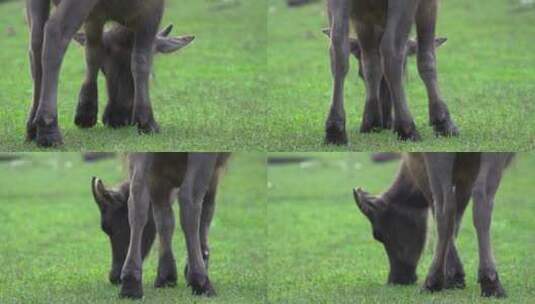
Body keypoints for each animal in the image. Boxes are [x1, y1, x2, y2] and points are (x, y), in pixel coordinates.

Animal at [26, 0, 182, 147]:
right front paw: (146, 122)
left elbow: (93, 51)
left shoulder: (95, 16)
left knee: (36, 42)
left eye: (104, 69)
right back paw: (49, 130)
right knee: (55, 32)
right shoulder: (151, 10)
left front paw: (85, 113)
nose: (118, 118)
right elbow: (141, 59)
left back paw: (32, 127)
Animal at [92, 153, 230, 298]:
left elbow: (164, 218)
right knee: (189, 197)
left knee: (137, 196)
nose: (114, 275)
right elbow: (207, 207)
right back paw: (201, 281)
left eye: (109, 227)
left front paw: (166, 276)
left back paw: (131, 284)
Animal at [324, 0, 458, 145]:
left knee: (337, 44)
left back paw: (335, 131)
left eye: (360, 74)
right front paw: (443, 123)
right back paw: (407, 128)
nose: (386, 122)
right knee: (391, 48)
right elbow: (427, 58)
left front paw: (371, 122)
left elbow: (370, 63)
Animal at [354, 152, 512, 296]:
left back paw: (433, 281)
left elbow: (437, 207)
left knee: (445, 205)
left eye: (378, 235)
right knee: (478, 196)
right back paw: (490, 282)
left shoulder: (416, 159)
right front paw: (454, 276)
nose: (395, 279)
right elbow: (457, 218)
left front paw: (453, 276)